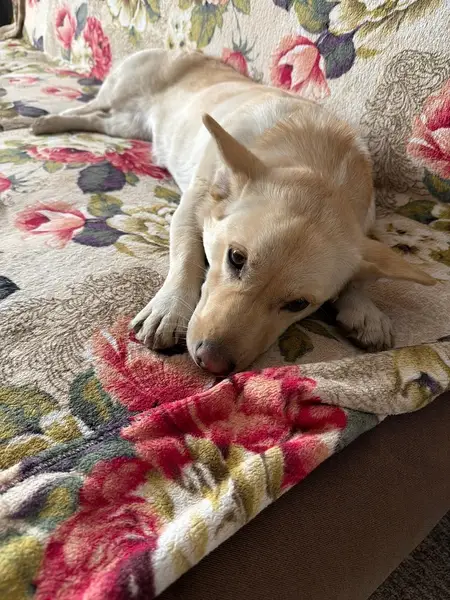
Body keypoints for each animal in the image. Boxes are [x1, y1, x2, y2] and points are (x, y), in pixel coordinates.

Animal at [31, 49, 436, 375]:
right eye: (236, 259)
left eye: (298, 304)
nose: (212, 363)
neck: (316, 160)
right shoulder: (191, 210)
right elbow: (187, 257)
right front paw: (170, 308)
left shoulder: (366, 228)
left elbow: (363, 273)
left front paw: (363, 310)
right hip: (121, 96)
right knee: (88, 107)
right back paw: (45, 120)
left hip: (128, 124)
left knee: (98, 120)